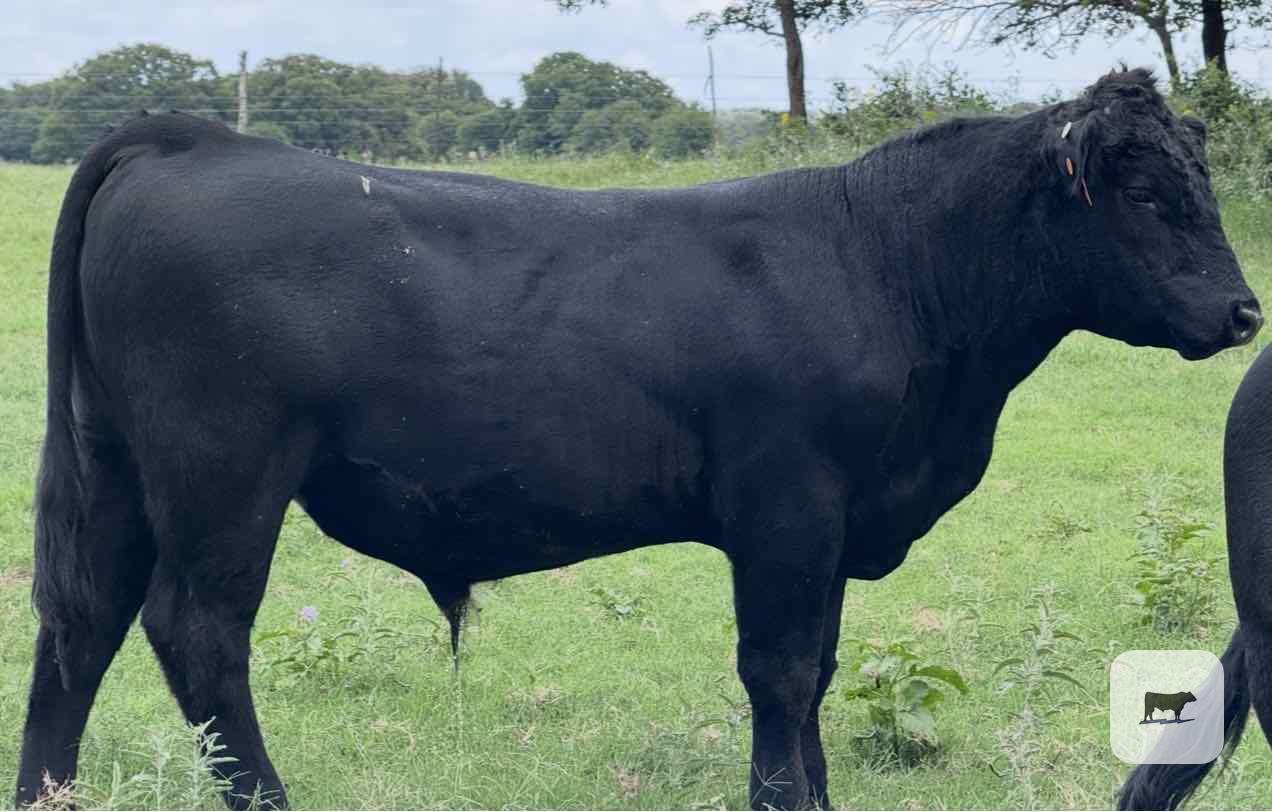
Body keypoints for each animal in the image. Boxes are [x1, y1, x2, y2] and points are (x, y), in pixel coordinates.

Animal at [15, 67, 1261, 811]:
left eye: (1199, 185)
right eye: (1147, 195)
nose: (1246, 312)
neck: (882, 266)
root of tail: (189, 141)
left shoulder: (835, 519)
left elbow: (818, 668)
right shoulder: (788, 507)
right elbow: (779, 668)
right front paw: (784, 795)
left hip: (115, 466)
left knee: (80, 623)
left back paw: (46, 793)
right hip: (224, 473)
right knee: (196, 631)